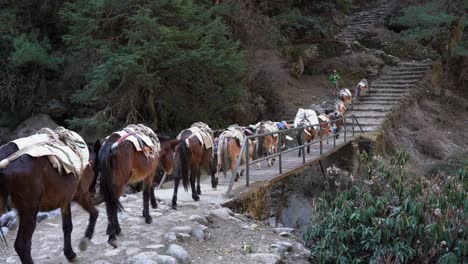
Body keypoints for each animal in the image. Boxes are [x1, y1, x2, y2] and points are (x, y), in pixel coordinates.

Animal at [0, 128, 98, 262]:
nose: (93, 192)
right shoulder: (81, 194)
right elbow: (94, 213)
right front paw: (85, 240)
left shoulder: (65, 201)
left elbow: (67, 226)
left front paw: (70, 253)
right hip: (29, 210)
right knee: (22, 245)